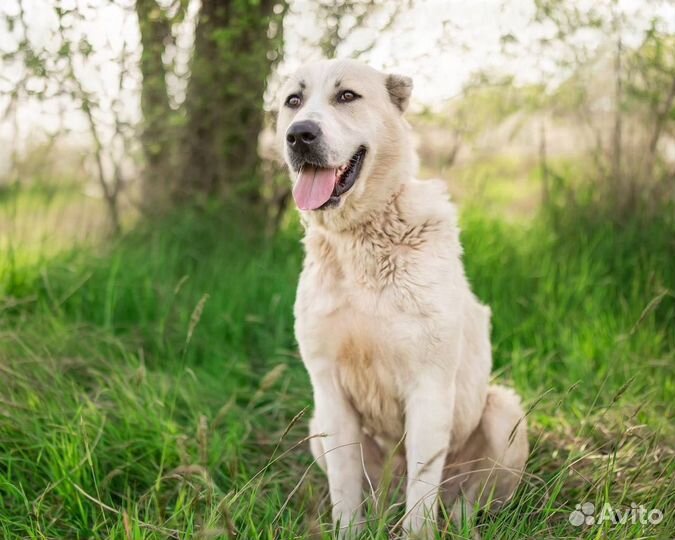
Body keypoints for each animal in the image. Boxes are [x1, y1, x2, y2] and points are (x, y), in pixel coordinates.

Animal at [274, 58, 528, 536]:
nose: (299, 134)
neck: (361, 239)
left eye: (347, 96)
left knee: (470, 499)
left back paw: (460, 521)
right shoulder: (330, 393)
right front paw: (350, 531)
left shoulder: (429, 387)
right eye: (293, 101)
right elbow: (345, 492)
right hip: (318, 427)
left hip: (506, 412)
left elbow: (421, 496)